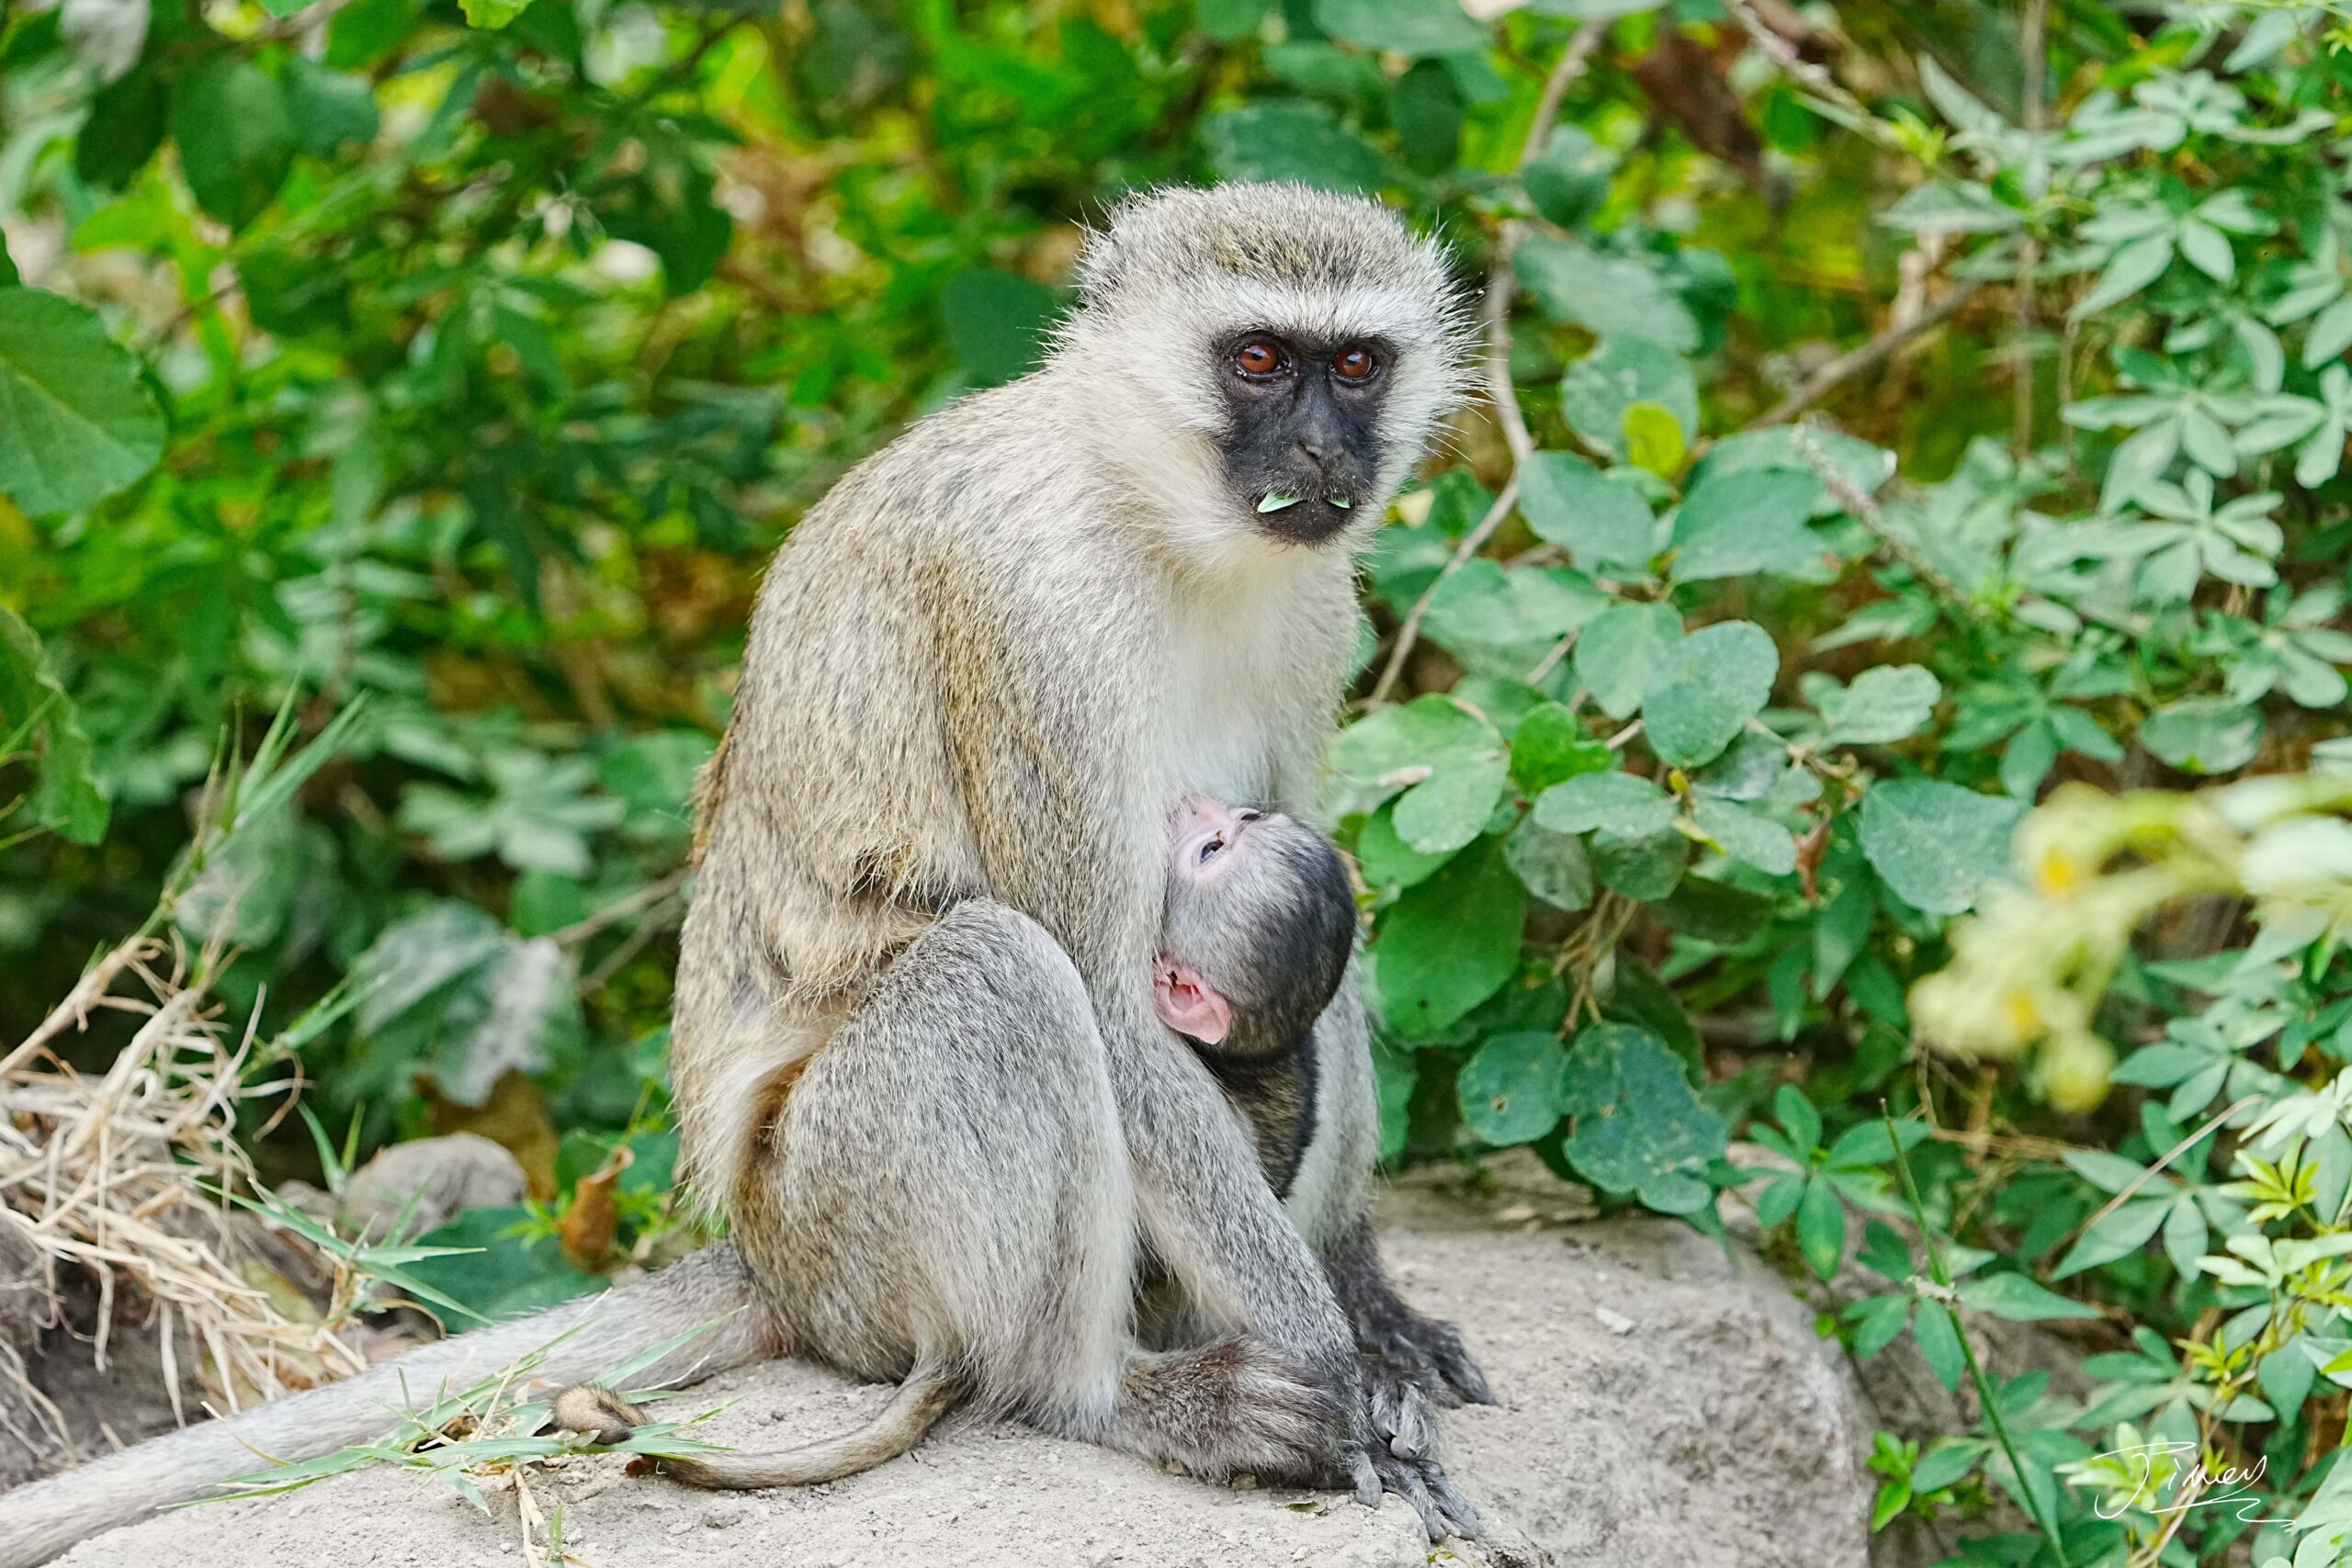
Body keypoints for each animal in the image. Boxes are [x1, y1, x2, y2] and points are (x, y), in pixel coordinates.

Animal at [0, 183, 1488, 1563]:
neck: (1163, 523)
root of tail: (766, 1254)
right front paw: (1336, 1367)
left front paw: (1366, 1307)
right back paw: (1106, 1395)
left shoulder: (1317, 614)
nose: (1321, 451)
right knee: (1002, 969)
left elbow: (1304, 882)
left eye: (1357, 365)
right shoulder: (1028, 617)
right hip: (839, 1214)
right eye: (1259, 360)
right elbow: (1113, 1003)